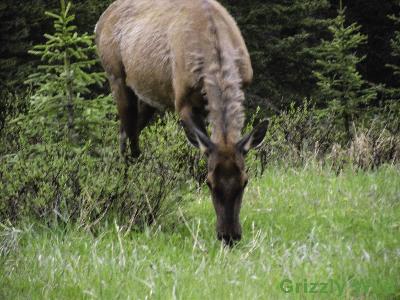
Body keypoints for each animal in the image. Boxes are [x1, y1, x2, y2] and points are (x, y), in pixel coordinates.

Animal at [95, 0, 268, 244]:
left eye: (245, 181)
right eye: (209, 182)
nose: (229, 235)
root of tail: (101, 20)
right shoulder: (182, 101)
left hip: (147, 96)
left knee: (127, 133)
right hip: (116, 77)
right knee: (128, 139)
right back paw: (128, 186)